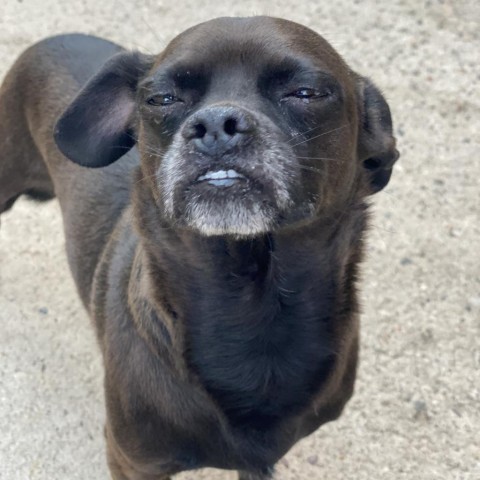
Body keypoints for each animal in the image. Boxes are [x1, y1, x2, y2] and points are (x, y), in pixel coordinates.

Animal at [0, 15, 398, 480]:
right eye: (161, 99)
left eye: (306, 92)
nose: (216, 124)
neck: (251, 309)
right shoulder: (133, 463)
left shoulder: (257, 465)